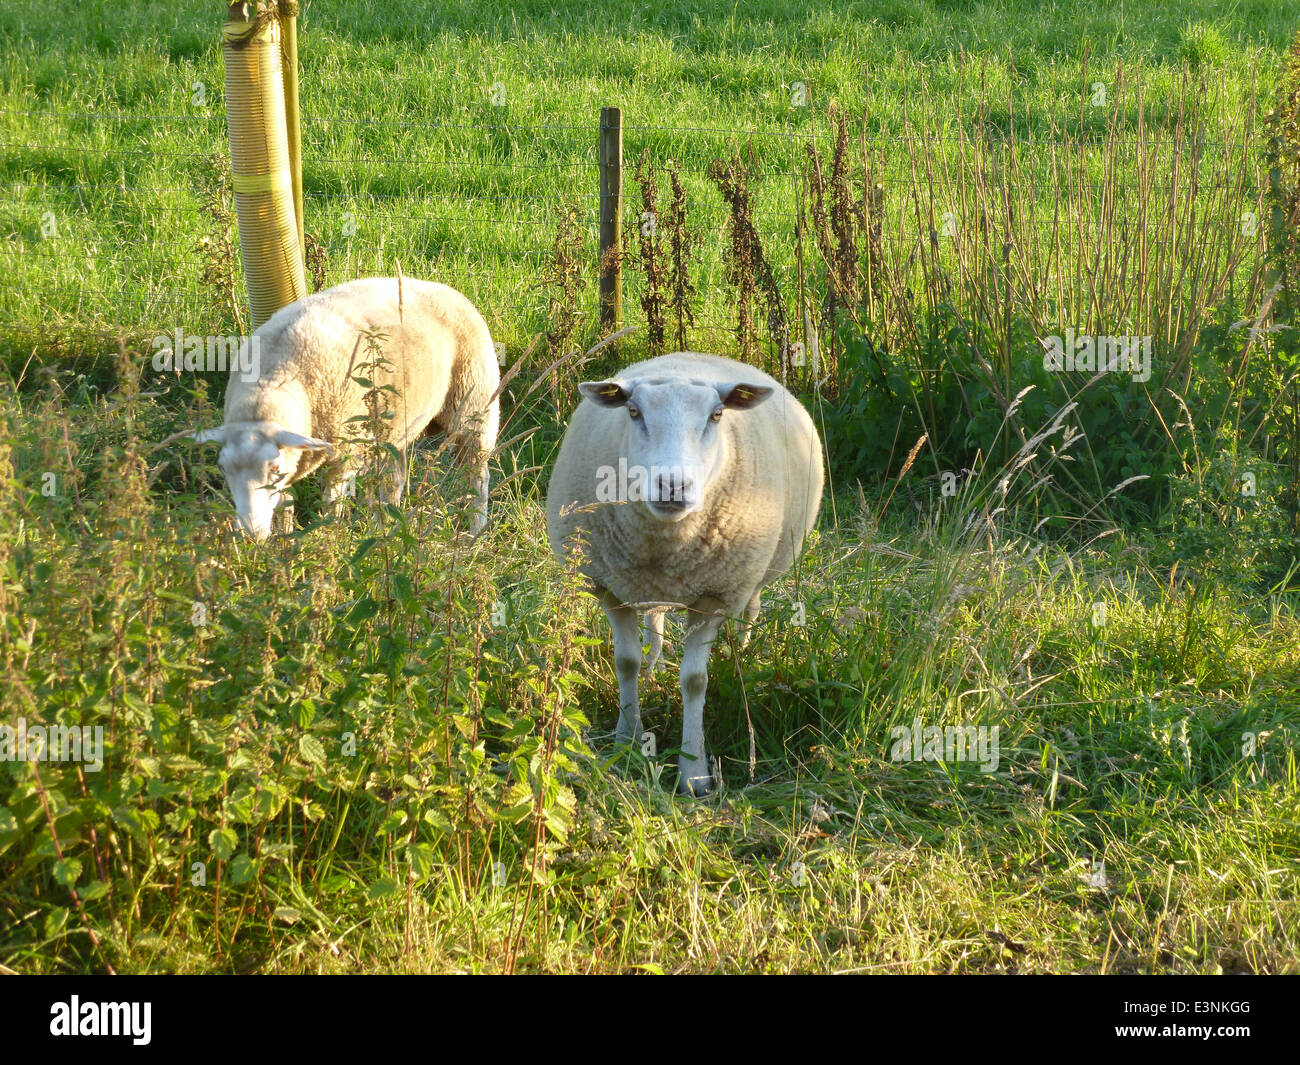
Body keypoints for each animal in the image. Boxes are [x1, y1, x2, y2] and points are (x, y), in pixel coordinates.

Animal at [185, 274, 499, 540]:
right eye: (224, 469)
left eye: (273, 470)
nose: (251, 535)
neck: (273, 380)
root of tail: (449, 291)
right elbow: (285, 505)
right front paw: (283, 542)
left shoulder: (346, 450)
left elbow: (330, 502)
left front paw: (328, 538)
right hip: (396, 426)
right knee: (394, 480)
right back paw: (385, 529)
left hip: (474, 410)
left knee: (477, 476)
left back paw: (476, 531)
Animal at [548, 353, 821, 795]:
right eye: (633, 411)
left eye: (717, 414)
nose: (673, 485)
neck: (668, 541)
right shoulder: (611, 588)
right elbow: (626, 663)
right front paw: (627, 738)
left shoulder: (714, 596)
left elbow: (695, 681)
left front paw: (694, 772)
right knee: (654, 618)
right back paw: (655, 659)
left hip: (754, 572)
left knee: (752, 607)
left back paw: (740, 649)